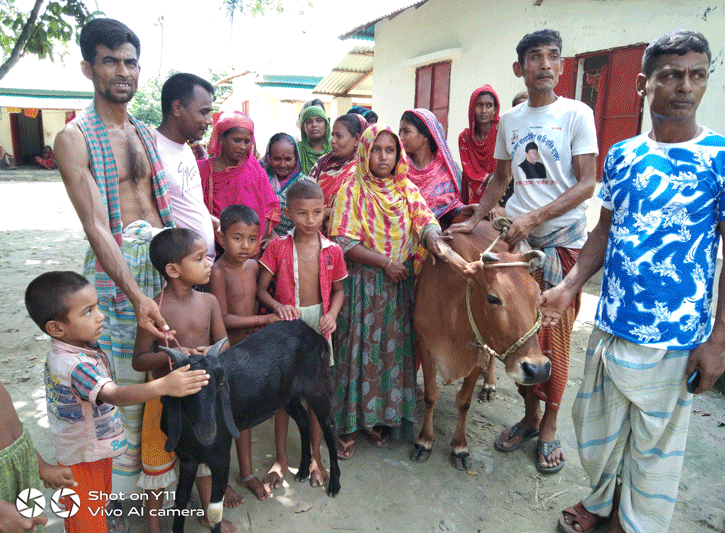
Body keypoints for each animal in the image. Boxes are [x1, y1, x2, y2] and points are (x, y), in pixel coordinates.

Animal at [160, 318, 340, 528]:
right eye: (186, 388)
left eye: (220, 384)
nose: (208, 431)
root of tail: (315, 334)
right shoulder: (187, 459)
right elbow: (180, 501)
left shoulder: (221, 457)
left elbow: (215, 511)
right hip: (287, 396)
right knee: (303, 419)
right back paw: (303, 470)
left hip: (316, 388)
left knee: (328, 425)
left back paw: (334, 484)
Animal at [412, 220, 548, 470]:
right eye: (493, 298)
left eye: (537, 297)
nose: (539, 369)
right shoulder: (425, 345)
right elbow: (431, 395)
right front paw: (424, 442)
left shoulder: (478, 351)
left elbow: (464, 402)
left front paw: (460, 448)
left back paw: (489, 385)